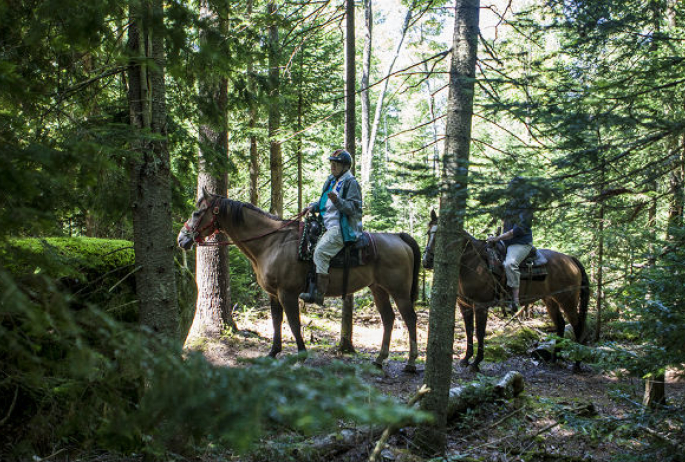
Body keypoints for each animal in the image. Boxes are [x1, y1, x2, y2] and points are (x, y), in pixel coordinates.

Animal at [176, 189, 420, 372]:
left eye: (197, 212)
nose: (181, 238)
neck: (271, 243)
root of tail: (399, 237)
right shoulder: (274, 294)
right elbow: (276, 321)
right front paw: (273, 352)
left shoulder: (288, 293)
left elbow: (293, 323)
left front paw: (301, 355)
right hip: (378, 289)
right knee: (389, 319)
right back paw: (380, 359)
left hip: (399, 291)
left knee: (410, 319)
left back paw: (410, 362)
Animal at [422, 211, 588, 370]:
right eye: (428, 232)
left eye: (442, 235)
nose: (426, 261)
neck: (474, 263)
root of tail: (570, 259)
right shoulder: (464, 305)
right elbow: (469, 331)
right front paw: (466, 359)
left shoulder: (481, 306)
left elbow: (479, 333)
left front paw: (476, 363)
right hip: (550, 300)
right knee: (560, 325)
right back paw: (555, 358)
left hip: (568, 300)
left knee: (577, 325)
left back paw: (577, 363)